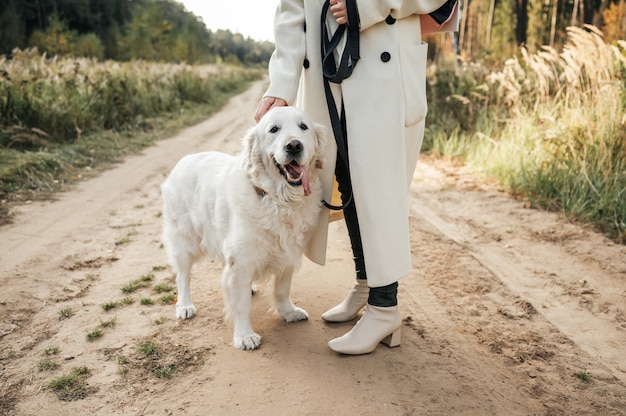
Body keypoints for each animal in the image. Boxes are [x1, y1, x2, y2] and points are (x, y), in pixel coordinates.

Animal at [161, 105, 326, 350]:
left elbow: (282, 289)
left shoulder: (287, 253)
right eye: (273, 129)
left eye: (303, 127)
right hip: (184, 239)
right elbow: (240, 305)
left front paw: (288, 312)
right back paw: (184, 305)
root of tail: (185, 159)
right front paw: (244, 335)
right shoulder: (240, 261)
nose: (294, 145)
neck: (277, 199)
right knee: (182, 276)